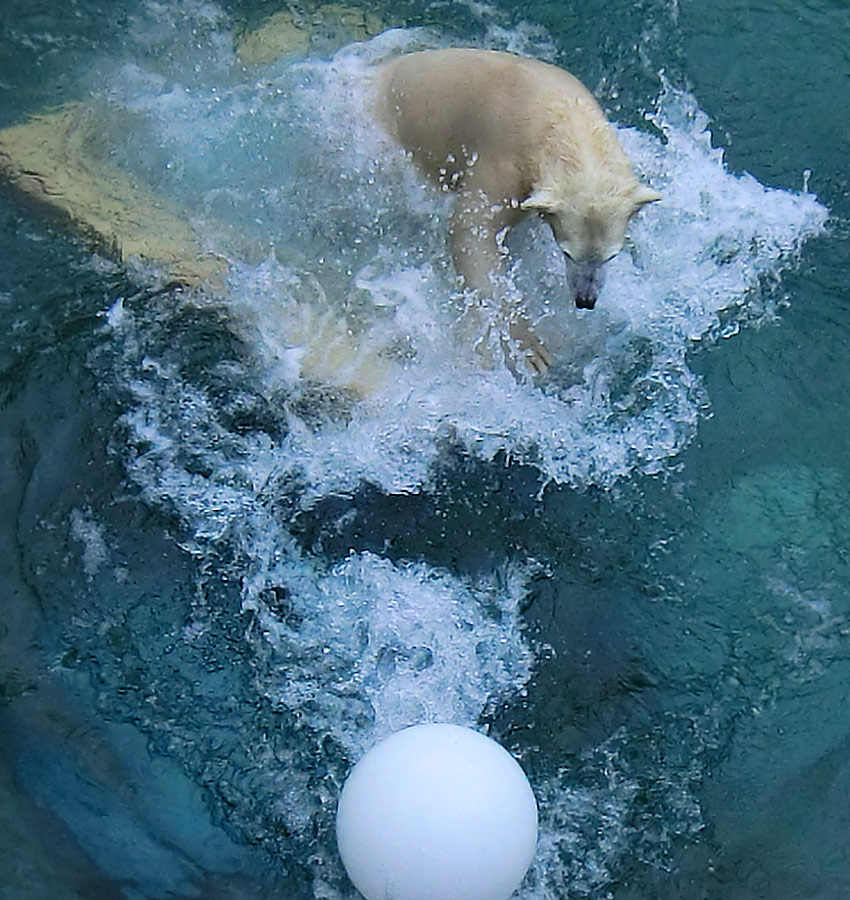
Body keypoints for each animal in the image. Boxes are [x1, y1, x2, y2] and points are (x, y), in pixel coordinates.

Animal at [374, 48, 660, 372]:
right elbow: (472, 232)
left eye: (611, 255)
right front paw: (526, 346)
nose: (585, 299)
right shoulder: (505, 158)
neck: (557, 113)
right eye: (567, 252)